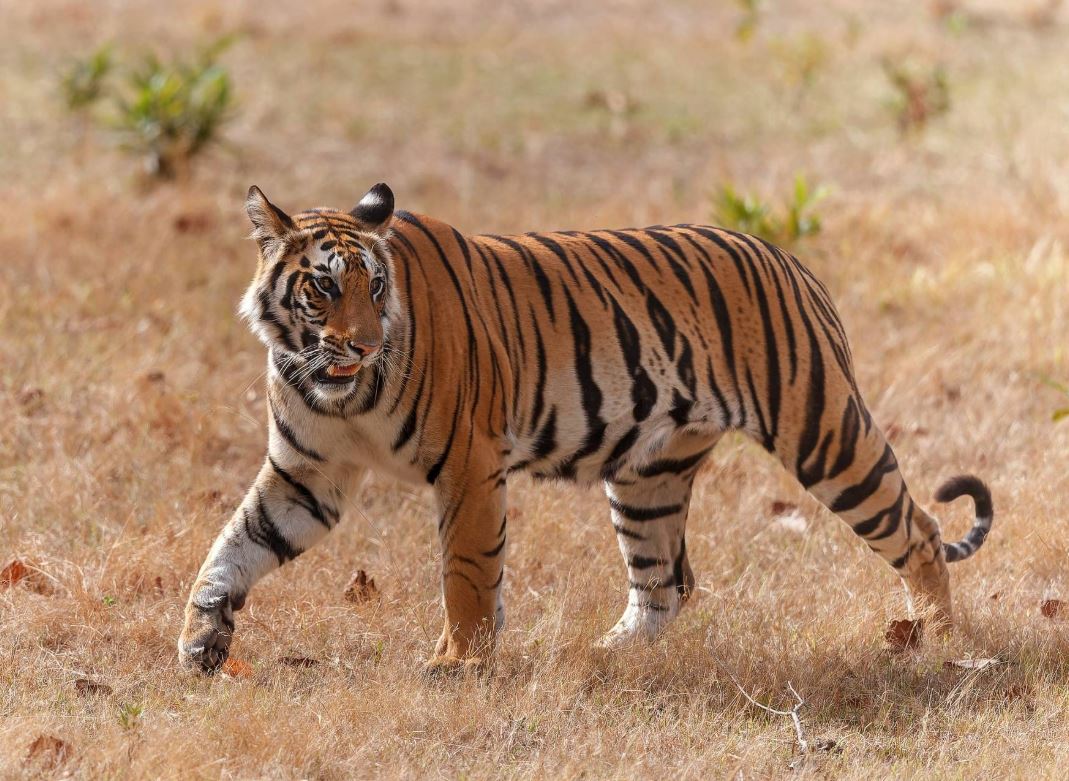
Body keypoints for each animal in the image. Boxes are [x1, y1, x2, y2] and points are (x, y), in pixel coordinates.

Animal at [178, 182, 993, 673]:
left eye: (376, 288)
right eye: (322, 288)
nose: (366, 343)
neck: (339, 392)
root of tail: (789, 260)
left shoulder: (469, 462)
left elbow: (466, 572)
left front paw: (457, 665)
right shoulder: (306, 475)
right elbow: (234, 547)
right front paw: (199, 640)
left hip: (824, 433)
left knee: (920, 530)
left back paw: (944, 647)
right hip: (647, 477)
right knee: (665, 585)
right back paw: (609, 655)